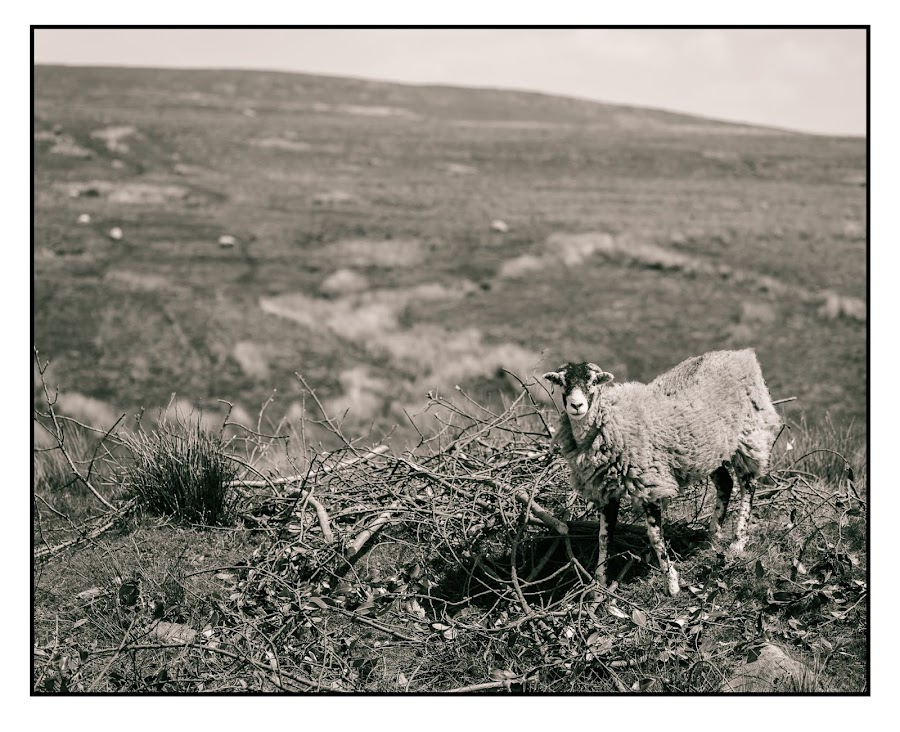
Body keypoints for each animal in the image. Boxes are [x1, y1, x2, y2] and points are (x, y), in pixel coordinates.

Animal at [543, 349, 781, 597]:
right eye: (562, 383)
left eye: (592, 382)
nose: (577, 405)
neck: (612, 421)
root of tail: (742, 355)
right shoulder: (608, 490)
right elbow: (604, 537)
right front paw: (599, 585)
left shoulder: (650, 484)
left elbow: (656, 537)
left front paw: (672, 584)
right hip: (709, 450)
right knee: (725, 483)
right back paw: (713, 536)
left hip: (749, 434)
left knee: (748, 486)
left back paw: (738, 541)